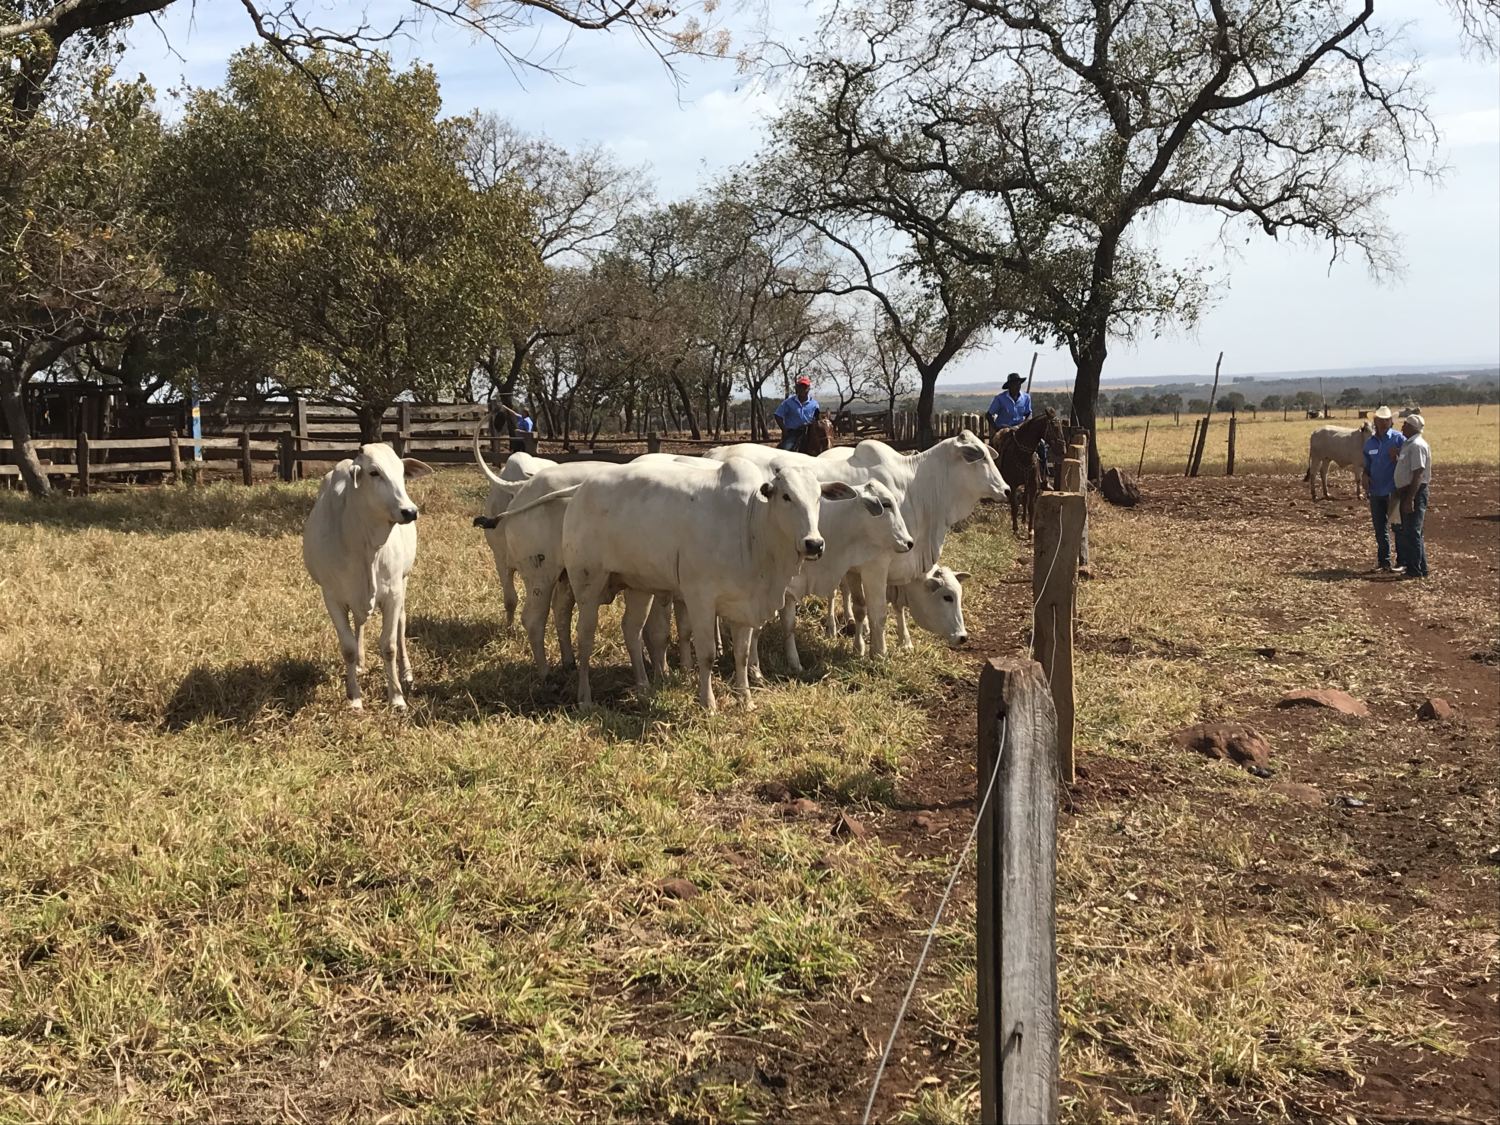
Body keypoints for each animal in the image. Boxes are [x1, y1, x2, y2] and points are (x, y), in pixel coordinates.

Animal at [301, 444, 435, 708]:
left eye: (402, 472)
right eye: (374, 472)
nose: (409, 511)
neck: (366, 547)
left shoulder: (393, 593)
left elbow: (389, 645)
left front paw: (397, 697)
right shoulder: (332, 597)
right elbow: (348, 648)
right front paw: (354, 697)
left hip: (404, 582)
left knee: (401, 624)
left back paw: (407, 673)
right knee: (359, 624)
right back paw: (361, 665)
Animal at [561, 459, 858, 714]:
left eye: (818, 497)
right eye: (786, 496)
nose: (814, 544)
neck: (752, 528)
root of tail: (582, 488)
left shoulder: (744, 605)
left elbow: (742, 654)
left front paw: (745, 700)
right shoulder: (700, 598)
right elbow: (706, 654)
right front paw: (708, 703)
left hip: (639, 587)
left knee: (631, 630)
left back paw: (643, 688)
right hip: (588, 584)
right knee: (585, 638)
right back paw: (585, 698)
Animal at [990, 411, 1074, 543]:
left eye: (1061, 427)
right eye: (1054, 428)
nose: (1063, 450)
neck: (1023, 455)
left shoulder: (1033, 484)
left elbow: (1031, 506)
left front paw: (1030, 531)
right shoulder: (1013, 485)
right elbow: (1015, 506)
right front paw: (1015, 529)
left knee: (1025, 499)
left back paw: (1024, 520)